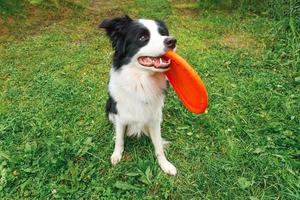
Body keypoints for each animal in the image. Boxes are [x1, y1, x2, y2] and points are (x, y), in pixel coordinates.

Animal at [99, 15, 177, 175]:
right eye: (143, 37)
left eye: (163, 33)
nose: (172, 41)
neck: (141, 82)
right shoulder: (120, 115)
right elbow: (119, 139)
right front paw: (116, 155)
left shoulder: (155, 118)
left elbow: (158, 145)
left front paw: (165, 164)